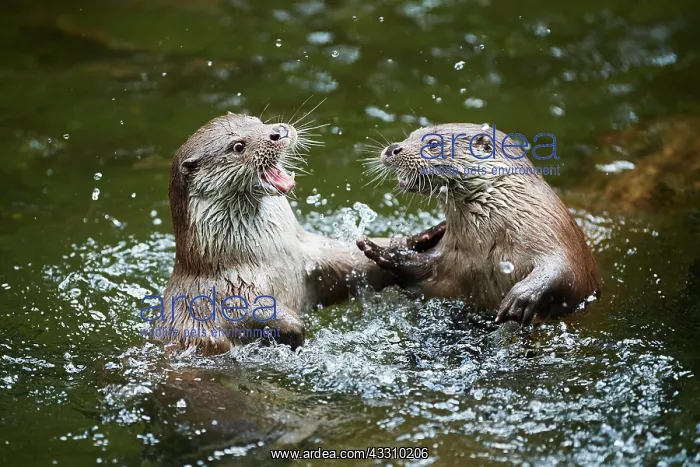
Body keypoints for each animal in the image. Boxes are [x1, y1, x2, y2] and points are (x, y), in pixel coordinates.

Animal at [151, 113, 441, 354]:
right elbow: (251, 312)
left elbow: (352, 266)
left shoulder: (310, 257)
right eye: (238, 146)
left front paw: (407, 245)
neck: (265, 257)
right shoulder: (226, 293)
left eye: (258, 120)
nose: (278, 131)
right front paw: (295, 332)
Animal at [357, 123, 601, 325]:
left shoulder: (555, 233)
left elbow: (565, 272)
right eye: (410, 136)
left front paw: (521, 297)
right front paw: (384, 252)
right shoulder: (451, 262)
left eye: (433, 143)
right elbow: (426, 274)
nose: (393, 149)